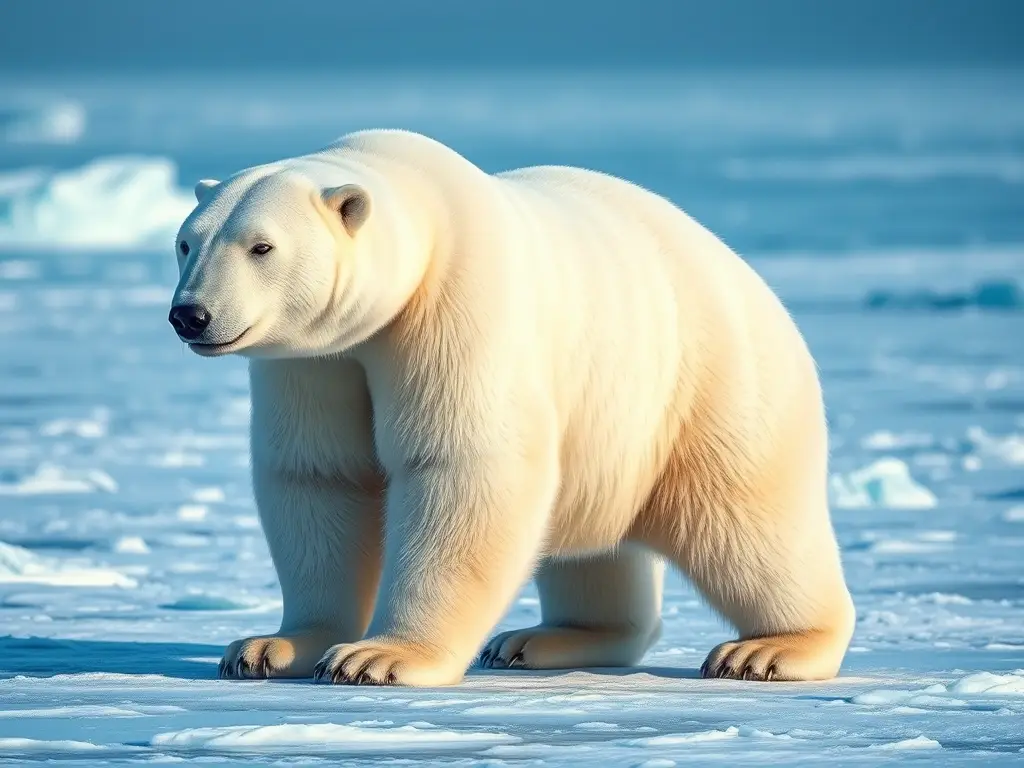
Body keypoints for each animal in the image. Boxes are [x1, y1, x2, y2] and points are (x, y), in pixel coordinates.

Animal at [169, 129, 855, 686]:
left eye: (261, 247)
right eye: (186, 242)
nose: (190, 314)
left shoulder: (456, 309)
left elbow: (463, 467)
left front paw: (379, 657)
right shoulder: (314, 361)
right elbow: (319, 475)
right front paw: (271, 647)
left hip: (711, 385)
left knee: (746, 523)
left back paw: (767, 650)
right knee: (596, 553)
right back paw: (538, 640)